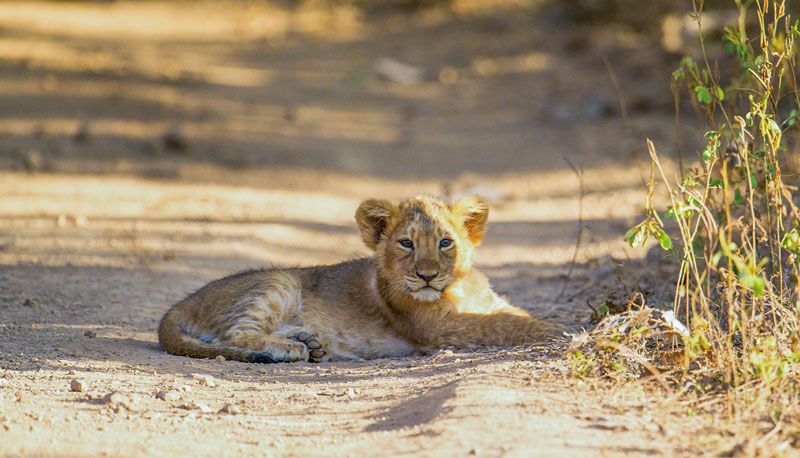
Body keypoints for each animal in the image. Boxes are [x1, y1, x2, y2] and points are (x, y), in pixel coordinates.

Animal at [158, 195, 561, 363]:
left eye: (445, 242)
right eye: (406, 243)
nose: (427, 275)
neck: (459, 286)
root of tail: (181, 304)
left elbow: (513, 315)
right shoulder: (438, 329)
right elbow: (501, 324)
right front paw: (561, 331)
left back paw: (311, 342)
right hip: (278, 282)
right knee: (234, 334)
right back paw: (292, 348)